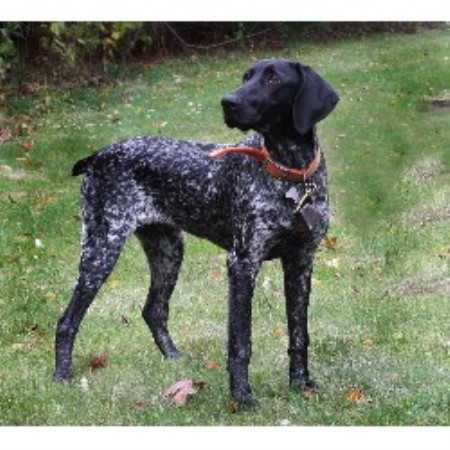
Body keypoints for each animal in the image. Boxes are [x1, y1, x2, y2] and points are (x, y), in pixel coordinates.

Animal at [54, 58, 338, 406]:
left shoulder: (301, 262)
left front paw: (301, 384)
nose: (228, 102)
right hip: (101, 248)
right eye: (246, 76)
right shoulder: (243, 263)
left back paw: (175, 359)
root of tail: (99, 155)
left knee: (154, 310)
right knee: (67, 321)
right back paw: (62, 376)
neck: (290, 173)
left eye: (272, 78)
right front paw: (242, 396)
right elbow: (240, 341)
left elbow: (299, 334)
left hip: (168, 250)